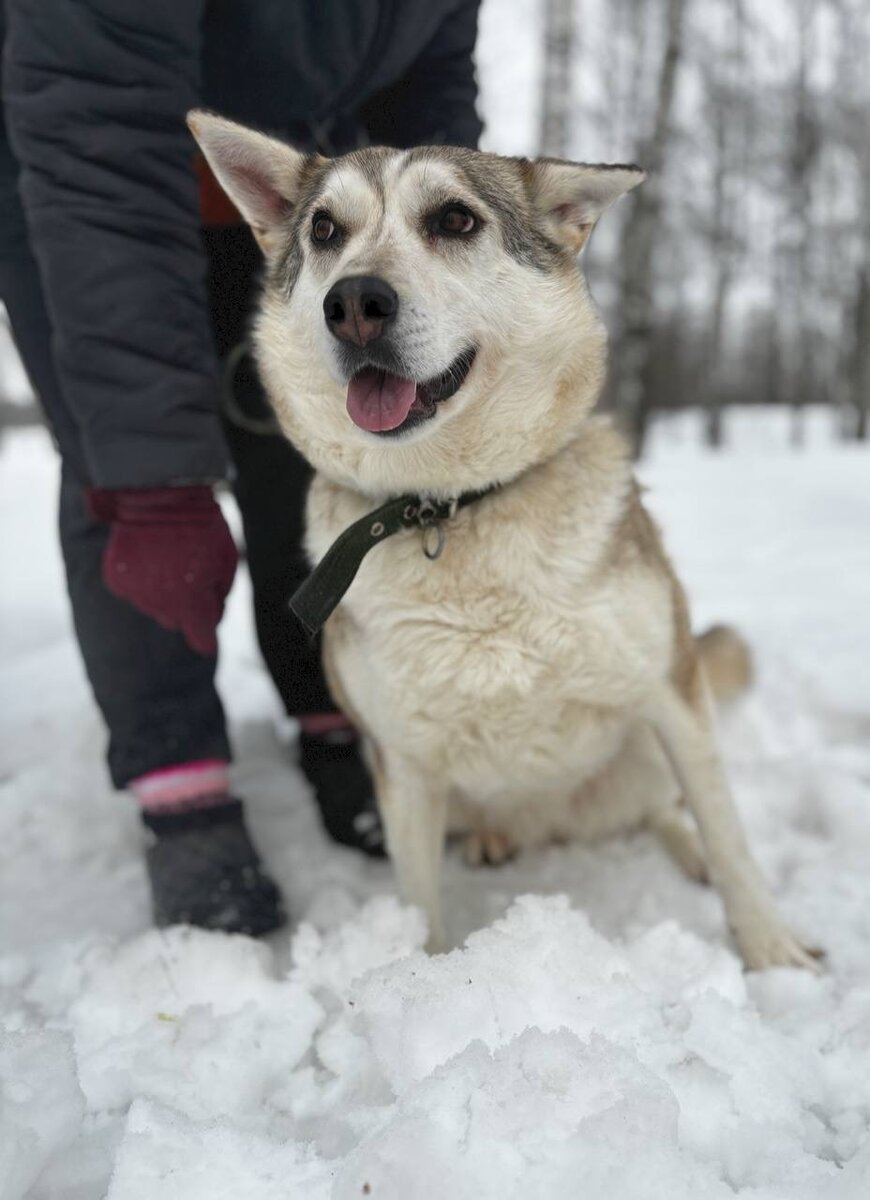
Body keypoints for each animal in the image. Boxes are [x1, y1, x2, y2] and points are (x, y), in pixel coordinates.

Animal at [192, 110, 820, 974]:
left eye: (454, 220)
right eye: (325, 230)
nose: (353, 301)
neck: (450, 509)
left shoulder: (670, 691)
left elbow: (730, 838)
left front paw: (769, 951)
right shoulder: (403, 764)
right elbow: (418, 901)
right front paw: (419, 976)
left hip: (650, 737)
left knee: (668, 810)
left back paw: (683, 853)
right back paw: (493, 840)